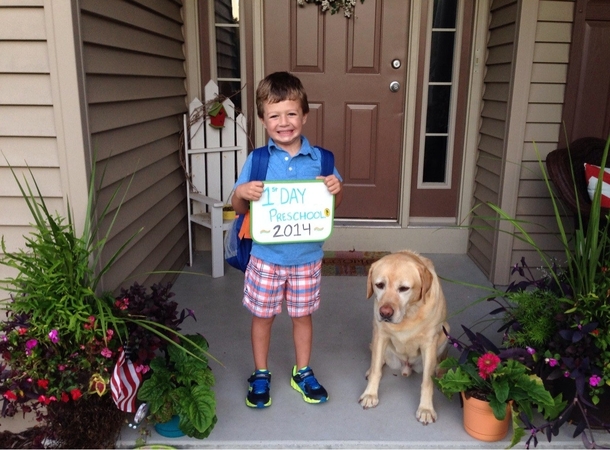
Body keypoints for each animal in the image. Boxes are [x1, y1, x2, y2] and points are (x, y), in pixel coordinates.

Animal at [356, 251, 446, 424]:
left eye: (404, 288)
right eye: (379, 285)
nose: (385, 312)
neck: (408, 314)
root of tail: (406, 367)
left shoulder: (429, 343)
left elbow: (427, 382)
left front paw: (426, 409)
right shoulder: (381, 334)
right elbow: (376, 370)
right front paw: (370, 394)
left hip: (444, 334)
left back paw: (440, 370)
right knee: (378, 361)